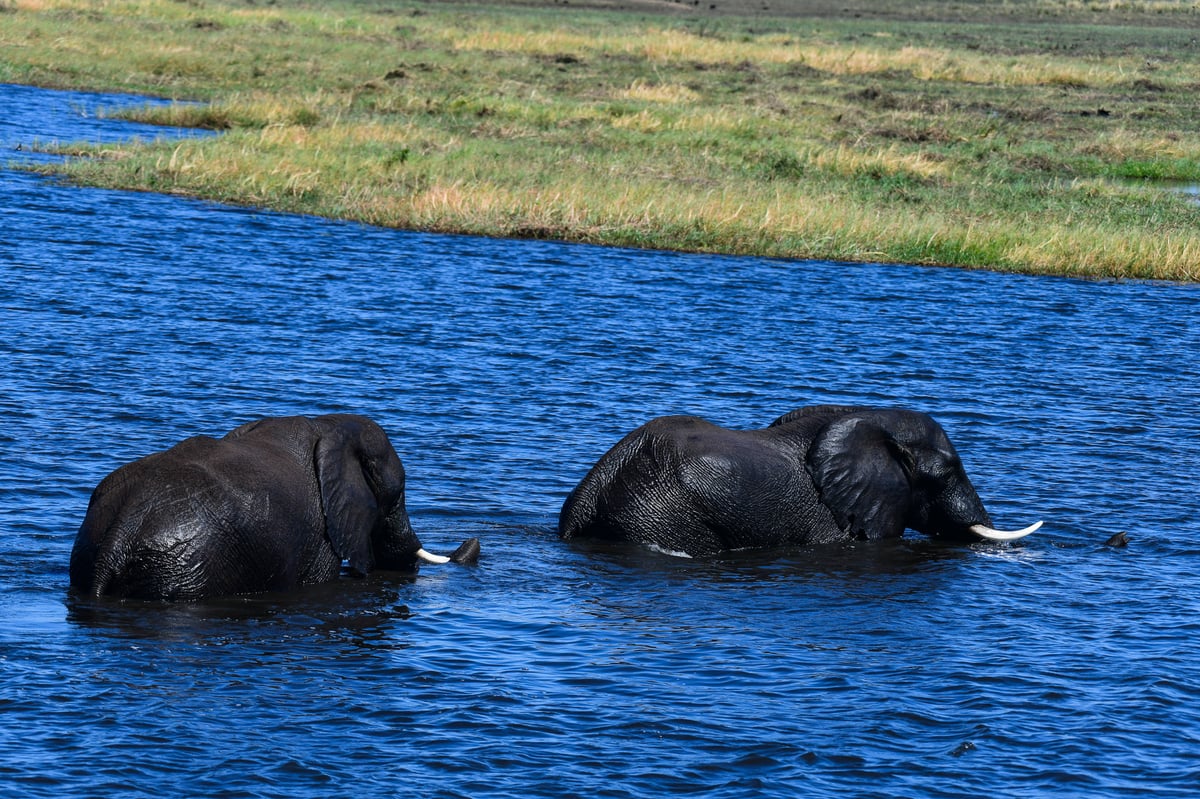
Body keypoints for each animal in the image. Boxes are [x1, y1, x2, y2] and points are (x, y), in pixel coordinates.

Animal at [70, 412, 477, 599]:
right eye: (397, 495)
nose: (472, 541)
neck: (328, 424)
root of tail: (118, 534)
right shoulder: (320, 539)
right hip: (184, 570)